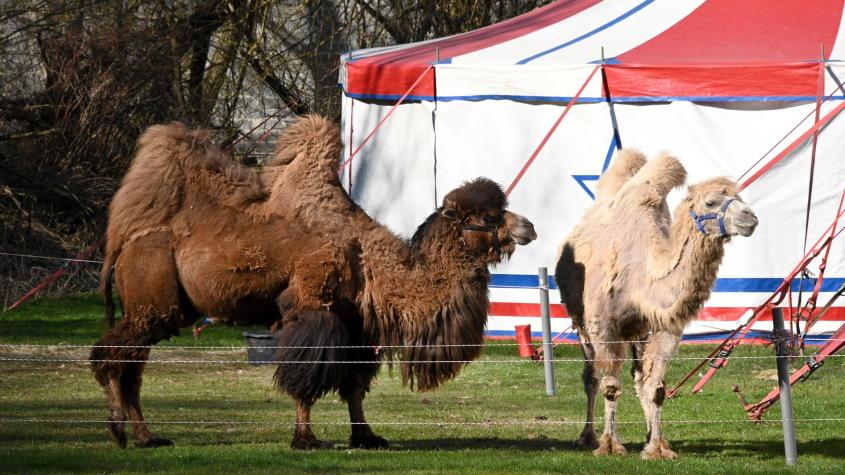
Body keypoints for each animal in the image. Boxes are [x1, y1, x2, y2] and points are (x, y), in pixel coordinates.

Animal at [90, 115, 537, 449]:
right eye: (488, 217)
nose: (529, 227)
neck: (368, 263)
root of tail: (122, 246)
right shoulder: (313, 307)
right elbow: (307, 376)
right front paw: (306, 439)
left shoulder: (357, 328)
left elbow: (354, 385)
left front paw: (367, 437)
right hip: (152, 298)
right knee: (112, 356)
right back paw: (120, 431)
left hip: (166, 307)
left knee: (132, 362)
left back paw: (145, 436)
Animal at [554, 149, 758, 460]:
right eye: (711, 202)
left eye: (740, 198)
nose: (751, 217)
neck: (642, 276)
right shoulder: (603, 325)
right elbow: (610, 386)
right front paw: (610, 445)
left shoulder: (664, 328)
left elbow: (657, 389)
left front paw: (658, 448)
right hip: (580, 321)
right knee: (591, 377)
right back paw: (587, 437)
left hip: (637, 333)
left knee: (639, 378)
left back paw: (649, 433)